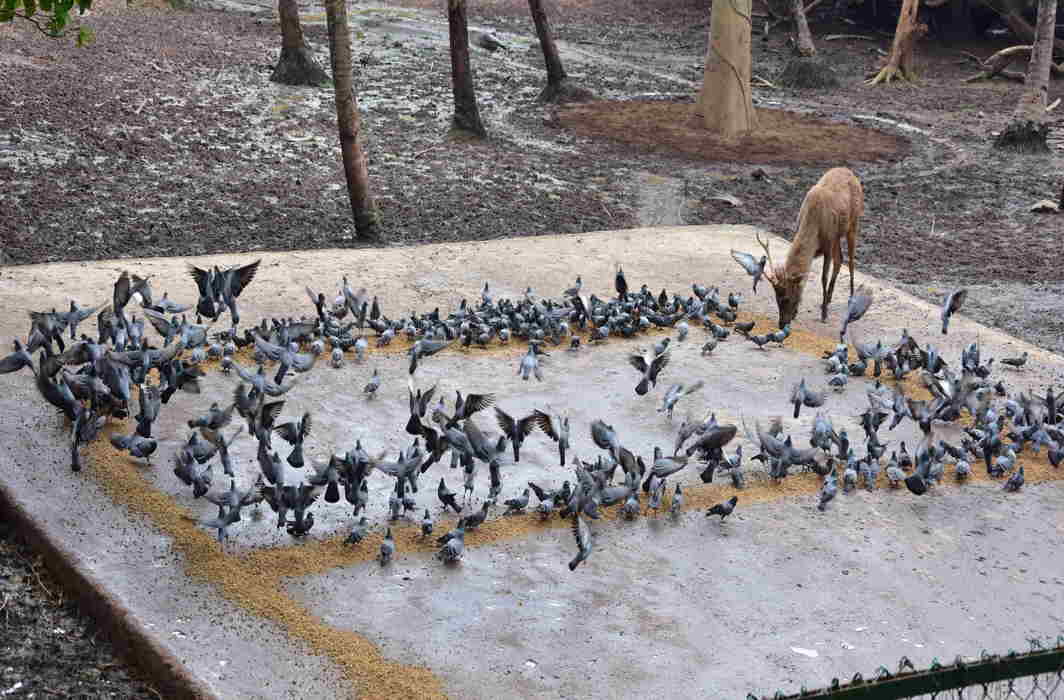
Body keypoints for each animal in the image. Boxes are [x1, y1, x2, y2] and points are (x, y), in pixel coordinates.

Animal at [757, 165, 863, 327]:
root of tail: (849, 171)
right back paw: (828, 299)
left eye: (787, 298)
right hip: (837, 236)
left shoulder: (827, 245)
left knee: (850, 261)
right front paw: (798, 312)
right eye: (776, 298)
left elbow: (823, 278)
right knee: (840, 259)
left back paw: (850, 298)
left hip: (853, 224)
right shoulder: (820, 245)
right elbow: (805, 277)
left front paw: (824, 315)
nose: (781, 324)